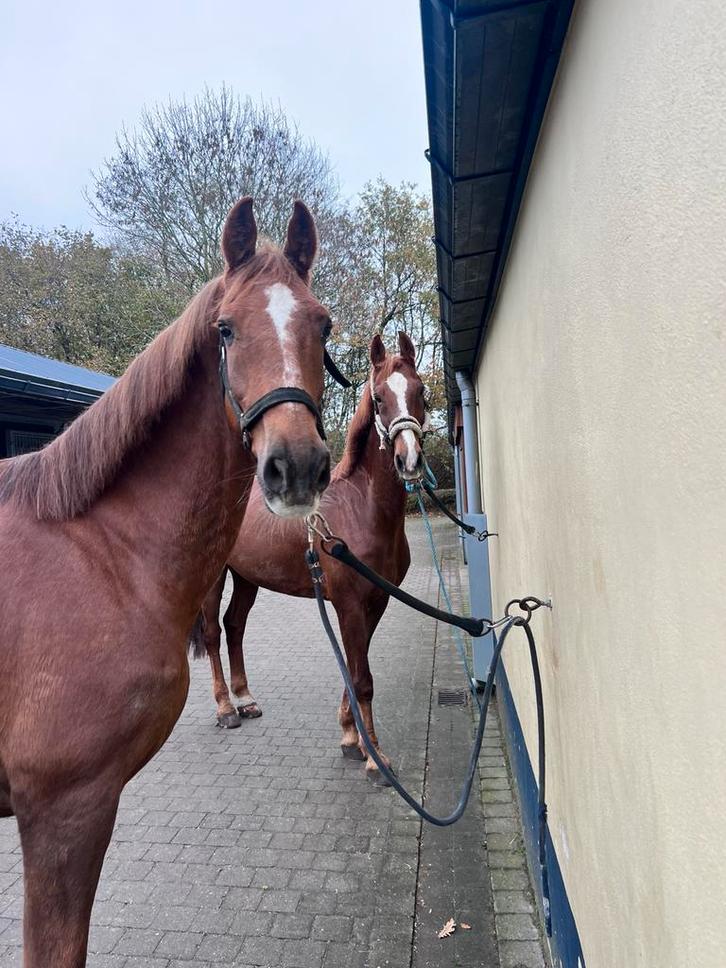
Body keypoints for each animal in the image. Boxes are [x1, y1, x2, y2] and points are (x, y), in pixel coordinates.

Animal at [193, 331, 430, 781]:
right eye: (379, 399)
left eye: (421, 391)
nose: (408, 460)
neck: (362, 510)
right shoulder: (350, 604)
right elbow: (362, 677)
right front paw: (375, 759)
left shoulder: (377, 601)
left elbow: (355, 670)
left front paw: (351, 738)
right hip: (215, 578)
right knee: (214, 633)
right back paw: (226, 708)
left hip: (248, 577)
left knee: (235, 626)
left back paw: (246, 700)